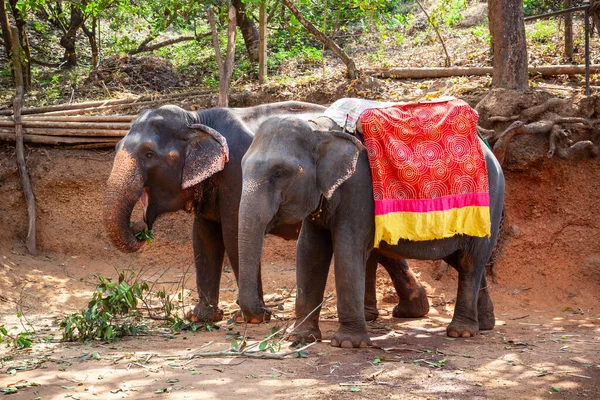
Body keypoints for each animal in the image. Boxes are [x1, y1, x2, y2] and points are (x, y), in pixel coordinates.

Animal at [104, 101, 432, 324]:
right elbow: (204, 239)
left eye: (149, 154)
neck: (196, 118)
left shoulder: (235, 175)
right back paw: (404, 311)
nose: (140, 230)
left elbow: (233, 234)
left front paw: (253, 317)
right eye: (117, 147)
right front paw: (201, 317)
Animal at [237, 113, 504, 346]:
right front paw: (301, 338)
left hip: (489, 205)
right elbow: (309, 252)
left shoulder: (359, 193)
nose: (265, 312)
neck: (321, 129)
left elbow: (347, 252)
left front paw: (347, 343)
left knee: (470, 260)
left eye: (279, 173)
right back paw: (484, 325)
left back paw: (461, 332)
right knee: (465, 260)